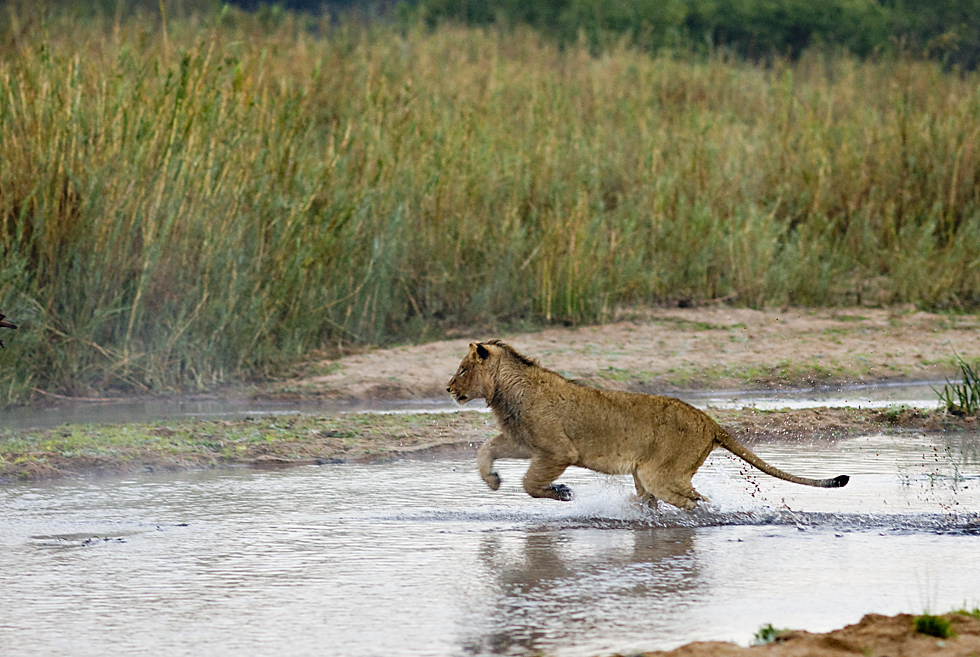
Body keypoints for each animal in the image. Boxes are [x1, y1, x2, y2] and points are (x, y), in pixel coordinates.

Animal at [448, 340, 848, 510]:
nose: (449, 388)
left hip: (662, 474)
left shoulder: (557, 451)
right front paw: (492, 480)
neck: (505, 391)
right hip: (647, 473)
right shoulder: (523, 441)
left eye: (463, 369)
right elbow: (487, 448)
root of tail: (709, 421)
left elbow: (531, 484)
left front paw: (561, 493)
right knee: (659, 499)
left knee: (695, 502)